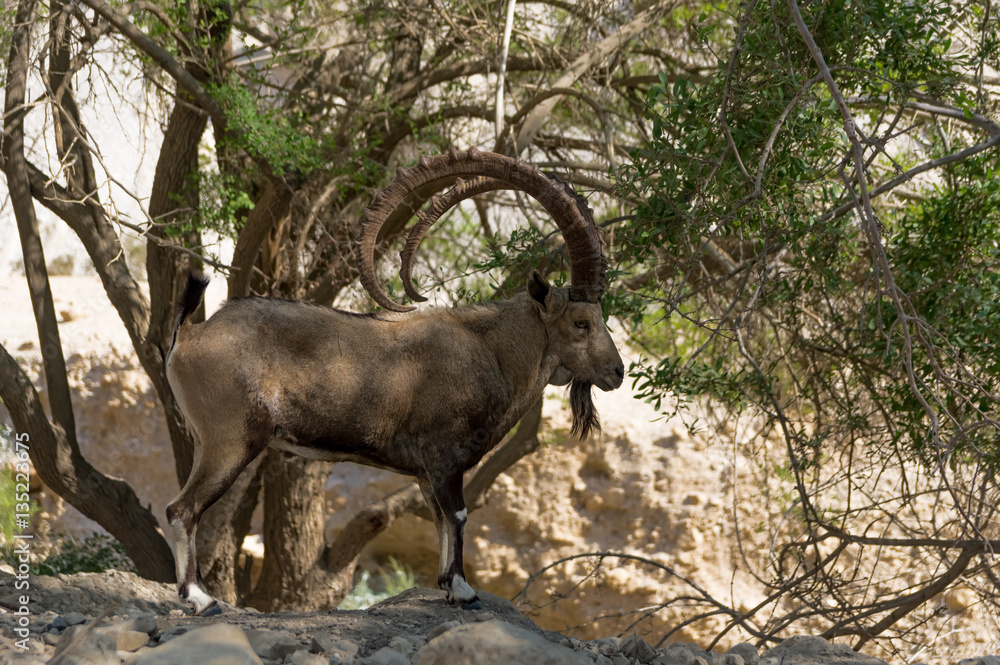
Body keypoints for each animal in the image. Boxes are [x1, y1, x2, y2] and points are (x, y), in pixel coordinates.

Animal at [165, 148, 624, 615]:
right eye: (582, 322)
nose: (617, 372)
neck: (490, 350)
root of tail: (189, 334)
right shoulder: (444, 457)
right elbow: (458, 515)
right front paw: (464, 590)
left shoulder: (425, 471)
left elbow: (440, 518)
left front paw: (445, 584)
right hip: (231, 440)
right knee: (181, 509)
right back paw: (199, 598)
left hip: (208, 441)